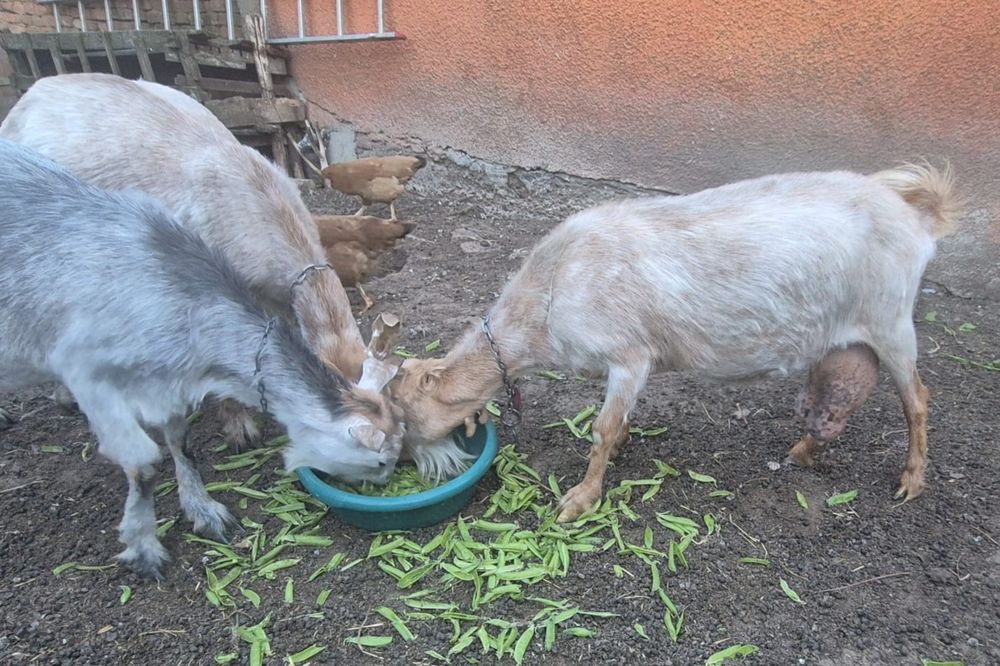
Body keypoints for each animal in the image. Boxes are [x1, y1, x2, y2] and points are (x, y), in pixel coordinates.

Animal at [0, 139, 404, 578]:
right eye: (380, 461)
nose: (387, 484)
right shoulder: (91, 374)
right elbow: (143, 462)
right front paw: (143, 544)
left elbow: (179, 438)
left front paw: (203, 510)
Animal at [390, 164, 959, 521]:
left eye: (404, 421)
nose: (395, 470)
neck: (550, 292)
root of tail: (915, 215)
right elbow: (618, 421)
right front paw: (619, 449)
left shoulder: (629, 353)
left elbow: (602, 428)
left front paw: (580, 498)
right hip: (849, 340)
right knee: (837, 402)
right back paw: (802, 451)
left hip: (891, 320)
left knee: (917, 400)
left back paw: (911, 480)